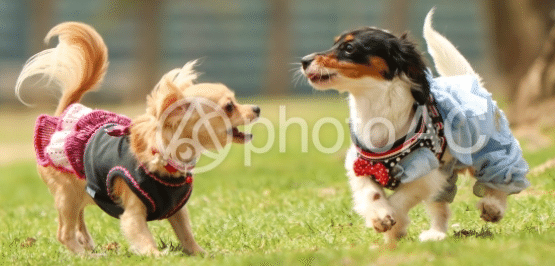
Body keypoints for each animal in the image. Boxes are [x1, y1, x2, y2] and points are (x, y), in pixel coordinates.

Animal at [15, 21, 260, 255]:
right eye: (229, 107)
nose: (257, 108)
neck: (166, 159)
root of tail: (62, 114)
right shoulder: (133, 213)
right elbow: (143, 237)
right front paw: (157, 255)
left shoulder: (177, 209)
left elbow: (186, 234)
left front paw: (202, 253)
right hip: (67, 194)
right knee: (64, 233)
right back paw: (86, 255)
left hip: (80, 192)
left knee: (78, 220)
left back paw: (87, 243)